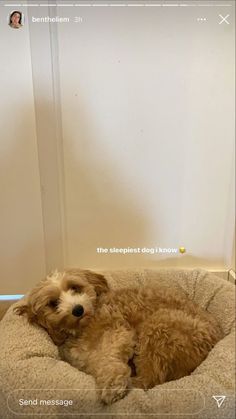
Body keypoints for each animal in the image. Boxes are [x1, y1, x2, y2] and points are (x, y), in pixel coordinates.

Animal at [15, 270, 223, 406]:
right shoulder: (84, 360)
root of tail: (216, 338)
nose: (78, 309)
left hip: (158, 325)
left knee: (150, 380)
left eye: (75, 288)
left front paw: (112, 385)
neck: (81, 329)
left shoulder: (118, 333)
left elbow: (110, 360)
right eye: (53, 303)